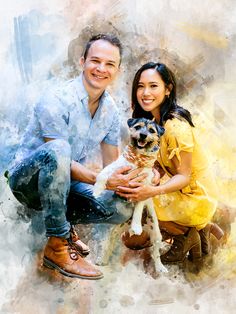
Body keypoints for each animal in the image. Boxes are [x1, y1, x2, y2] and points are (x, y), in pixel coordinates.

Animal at [94, 118, 168, 272]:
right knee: (109, 244)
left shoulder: (142, 188)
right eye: (138, 127)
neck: (138, 159)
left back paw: (160, 268)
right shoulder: (116, 167)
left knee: (155, 253)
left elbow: (138, 209)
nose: (143, 135)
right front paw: (96, 190)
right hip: (114, 229)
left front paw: (136, 226)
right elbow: (103, 174)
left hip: (156, 233)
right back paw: (102, 260)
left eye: (151, 130)